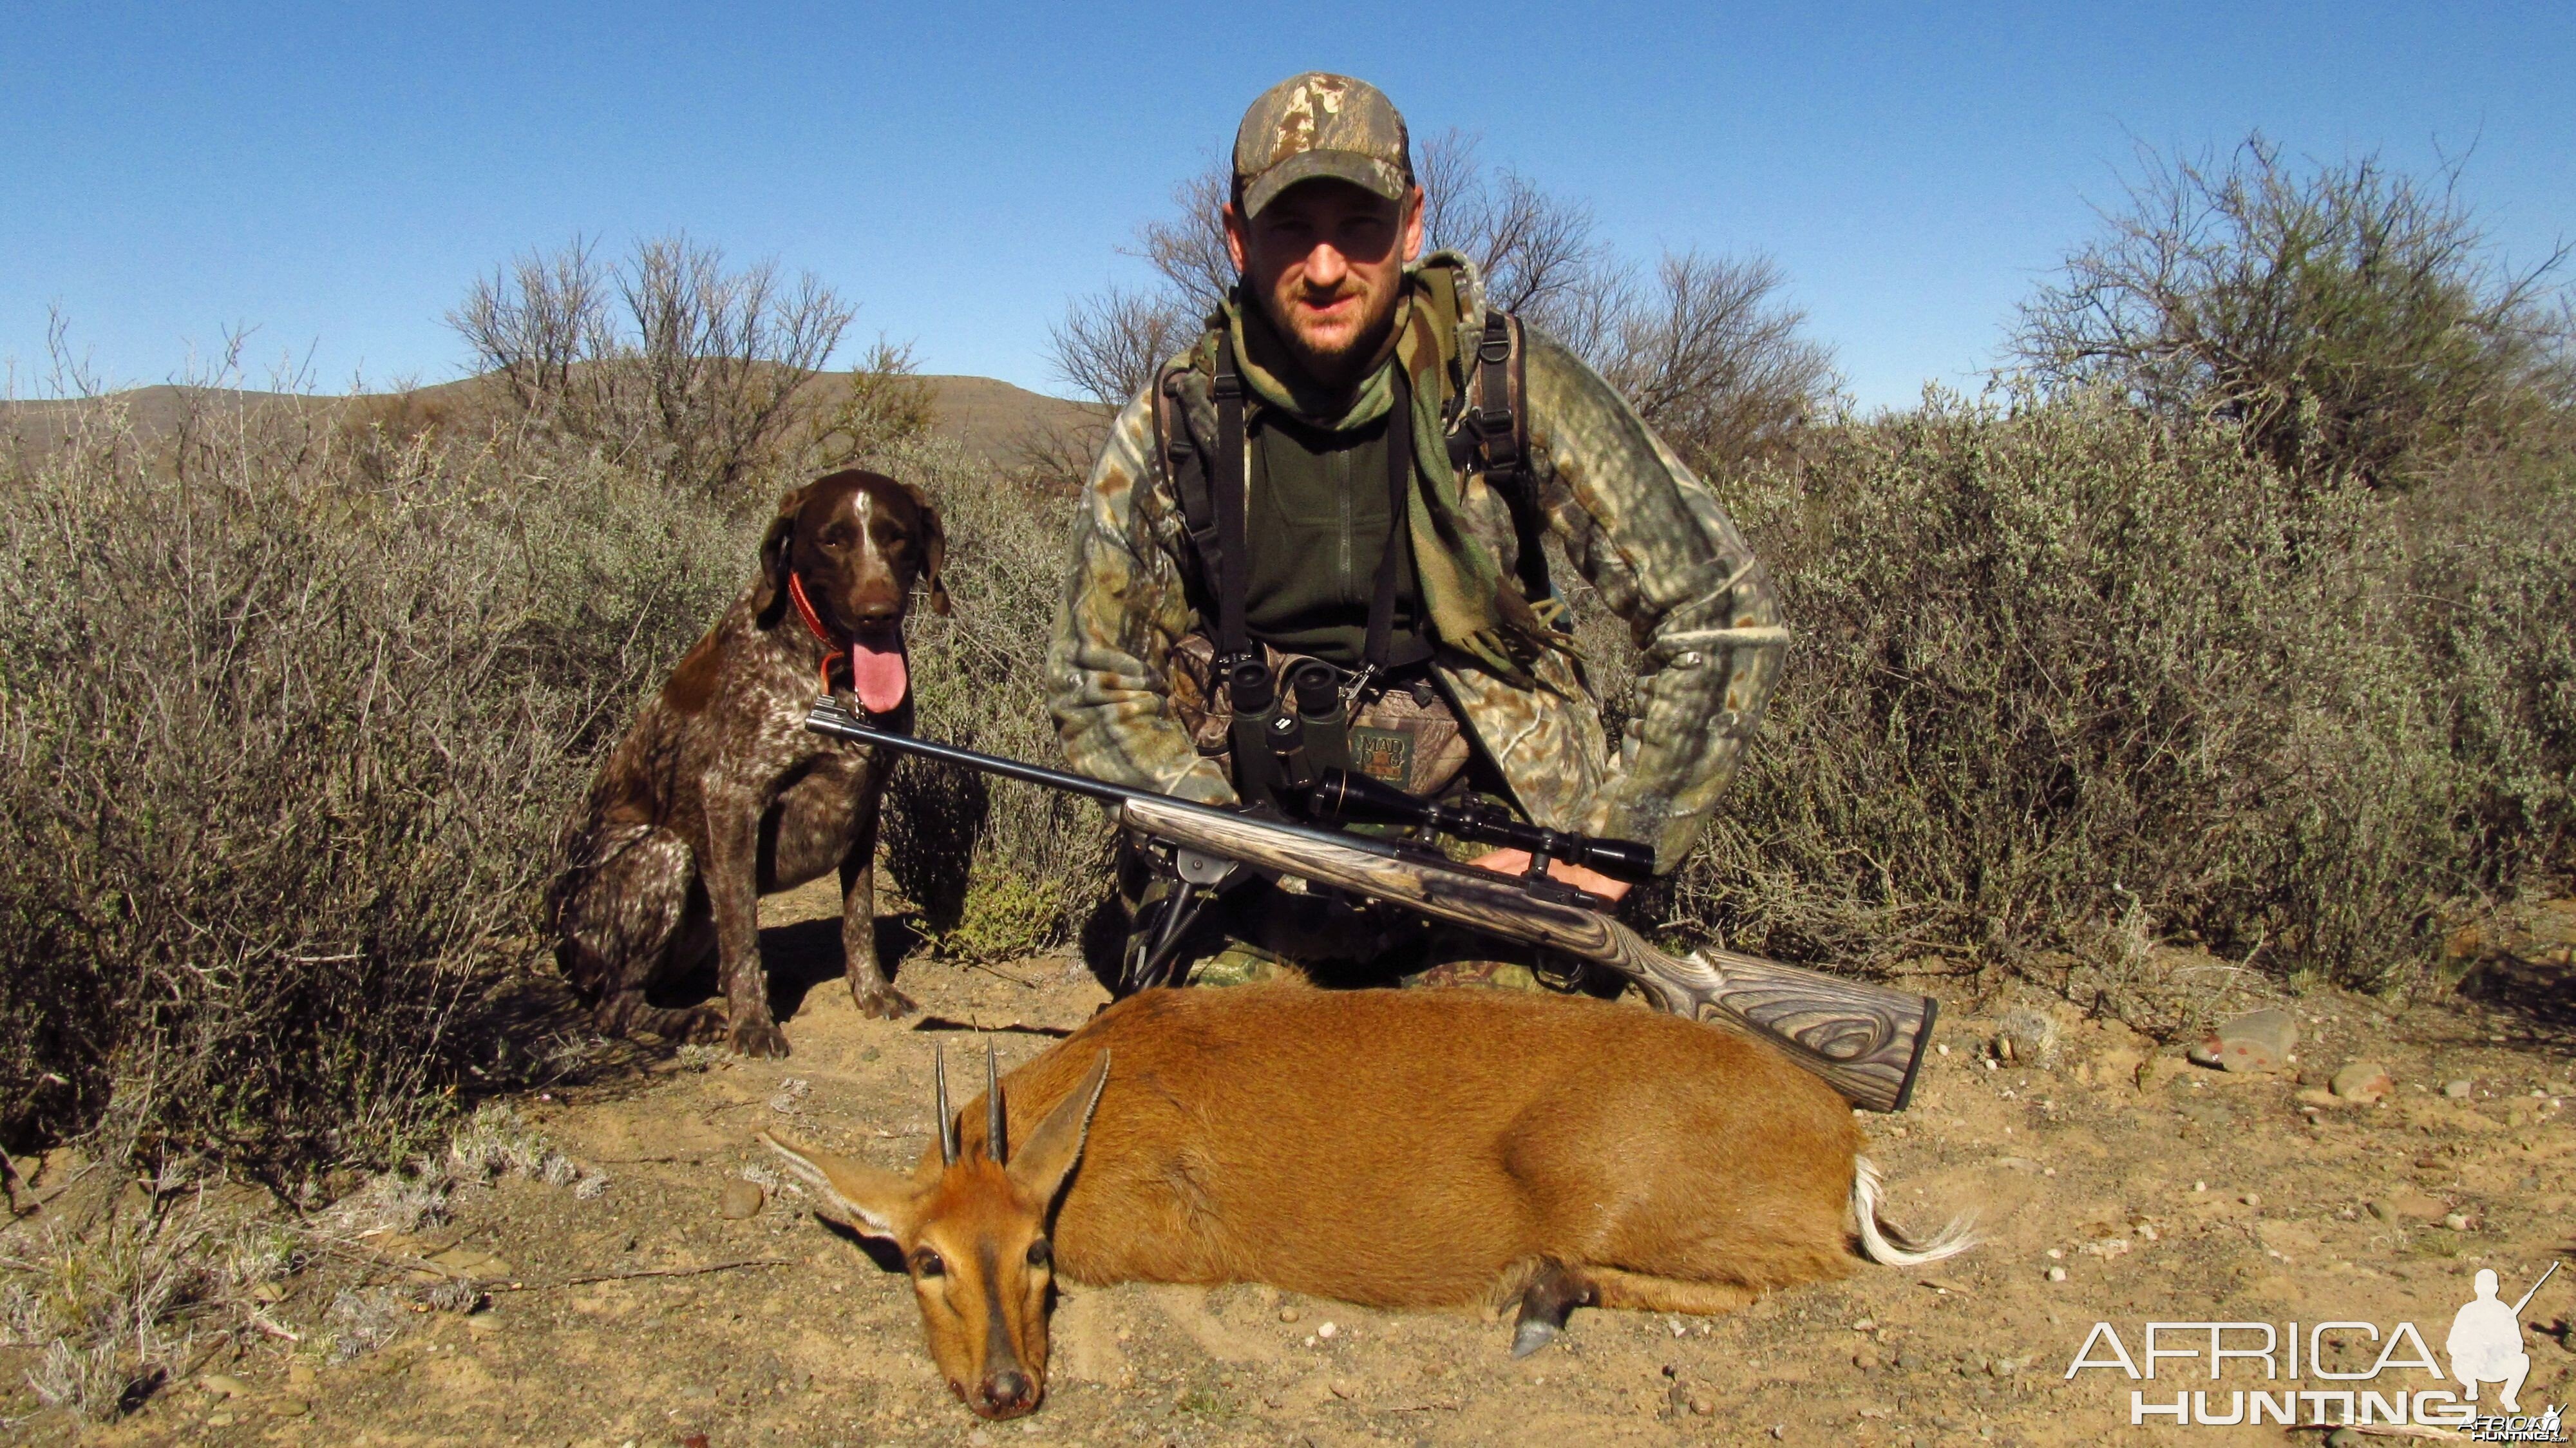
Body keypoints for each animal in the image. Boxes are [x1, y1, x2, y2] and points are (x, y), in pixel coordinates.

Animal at [551, 469, 948, 1056]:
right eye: (832, 541)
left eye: (897, 536)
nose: (877, 612)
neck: (834, 671)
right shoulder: (732, 798)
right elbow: (742, 927)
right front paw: (753, 1024)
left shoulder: (866, 801)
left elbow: (858, 917)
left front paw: (872, 991)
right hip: (663, 853)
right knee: (615, 1005)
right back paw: (691, 1020)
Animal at [762, 979, 1968, 1412]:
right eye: (926, 1258)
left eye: (1035, 1254)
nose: (1005, 1388)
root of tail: (1845, 1144)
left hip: (1612, 1190)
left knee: (1778, 1278)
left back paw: (1537, 1296)